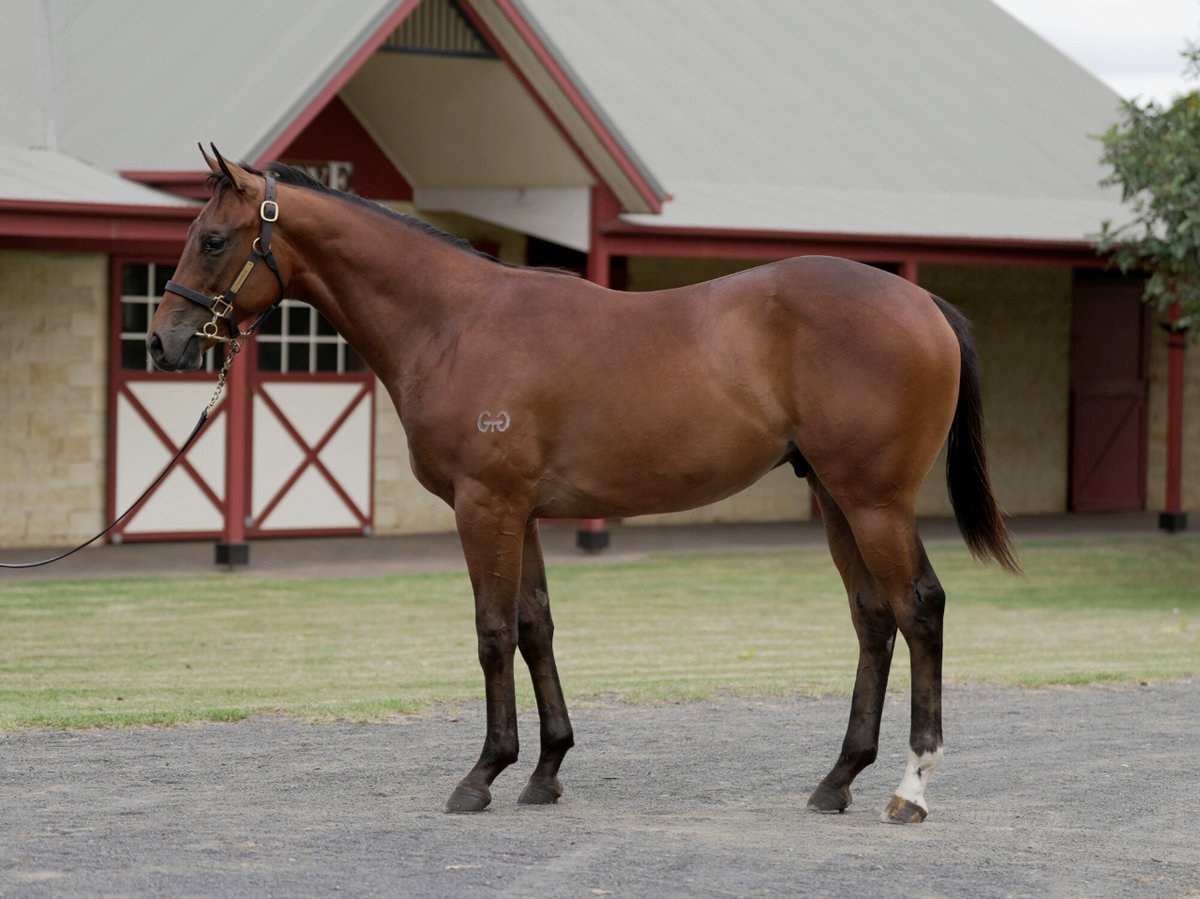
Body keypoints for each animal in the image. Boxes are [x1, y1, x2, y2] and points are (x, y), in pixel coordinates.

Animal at [145, 147, 1017, 820]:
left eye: (213, 238)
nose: (164, 340)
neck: (453, 321)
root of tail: (921, 300)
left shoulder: (485, 506)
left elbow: (493, 632)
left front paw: (482, 774)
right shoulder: (521, 511)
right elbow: (536, 627)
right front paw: (545, 769)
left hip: (875, 501)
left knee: (919, 609)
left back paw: (911, 786)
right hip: (838, 499)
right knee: (873, 620)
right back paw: (836, 779)